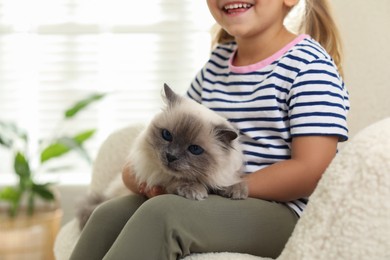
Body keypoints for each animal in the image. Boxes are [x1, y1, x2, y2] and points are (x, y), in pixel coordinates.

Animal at [76, 84, 247, 230]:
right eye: (167, 135)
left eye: (194, 149)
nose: (171, 156)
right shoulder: (155, 174)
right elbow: (177, 180)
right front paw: (195, 190)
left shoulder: (224, 175)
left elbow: (230, 182)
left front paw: (237, 191)